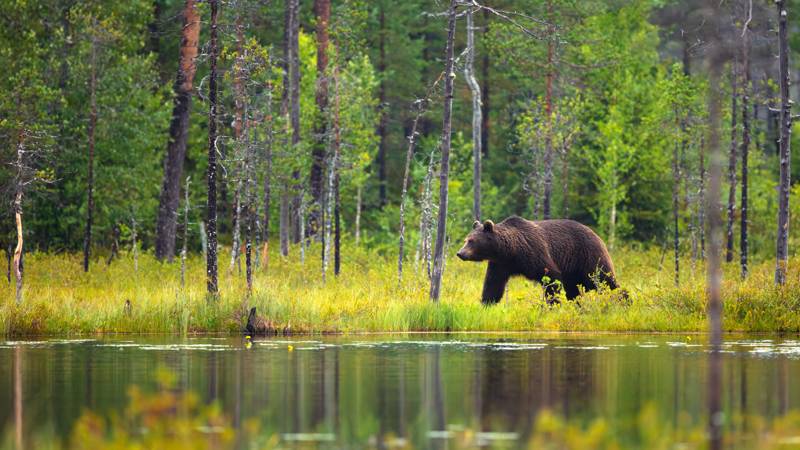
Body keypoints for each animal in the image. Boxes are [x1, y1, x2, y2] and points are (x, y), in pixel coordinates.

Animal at [456, 216, 620, 304]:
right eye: (466, 240)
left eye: (471, 241)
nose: (460, 253)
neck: (510, 251)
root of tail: (598, 236)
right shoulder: (501, 264)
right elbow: (493, 284)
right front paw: (487, 303)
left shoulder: (534, 252)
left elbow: (551, 277)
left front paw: (553, 303)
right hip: (573, 270)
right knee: (574, 289)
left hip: (588, 257)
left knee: (604, 280)